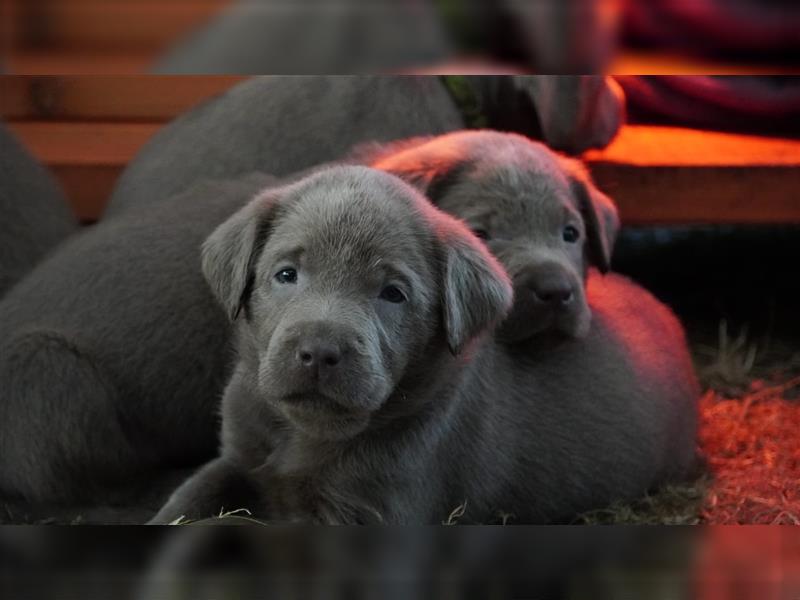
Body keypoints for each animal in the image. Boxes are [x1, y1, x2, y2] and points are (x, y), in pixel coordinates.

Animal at [152, 166, 700, 524]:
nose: (319, 351)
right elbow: (184, 502)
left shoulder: (375, 509)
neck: (306, 438)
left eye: (393, 294)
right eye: (286, 274)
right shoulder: (235, 459)